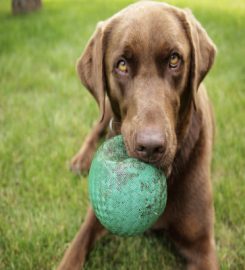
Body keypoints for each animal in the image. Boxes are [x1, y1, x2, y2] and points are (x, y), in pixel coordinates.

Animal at [58, 2, 218, 270]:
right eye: (122, 65)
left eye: (174, 59)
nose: (151, 146)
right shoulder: (96, 216)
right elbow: (74, 251)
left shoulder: (202, 245)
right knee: (97, 126)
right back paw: (80, 160)